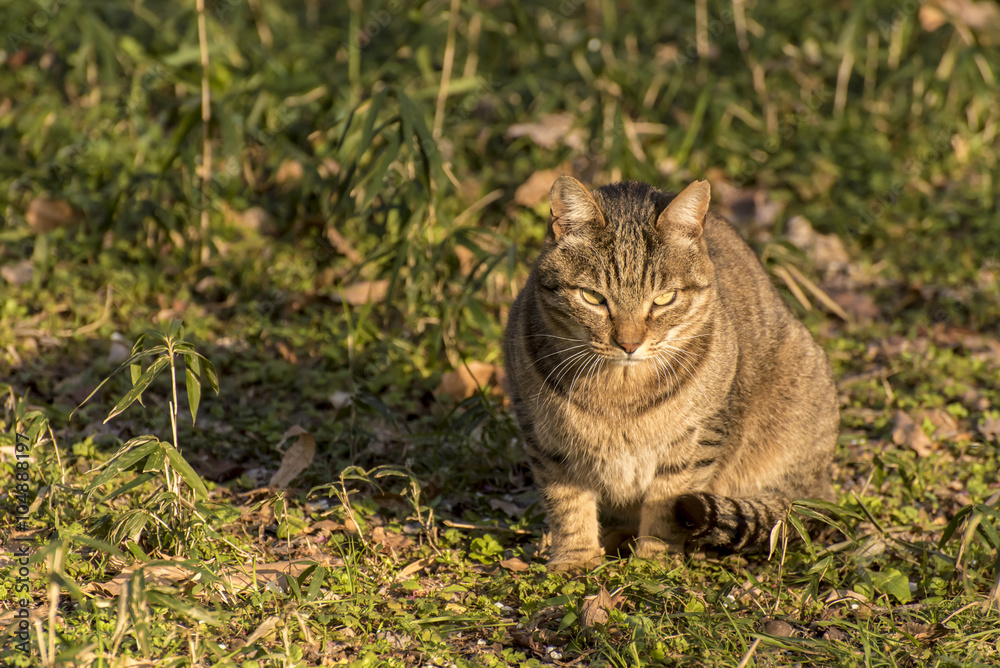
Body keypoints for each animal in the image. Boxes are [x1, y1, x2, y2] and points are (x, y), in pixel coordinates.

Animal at [504, 174, 840, 568]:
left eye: (664, 299)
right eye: (593, 298)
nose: (629, 344)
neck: (619, 392)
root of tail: (823, 484)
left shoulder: (696, 441)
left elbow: (666, 505)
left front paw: (655, 561)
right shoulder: (546, 442)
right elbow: (568, 506)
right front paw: (576, 559)